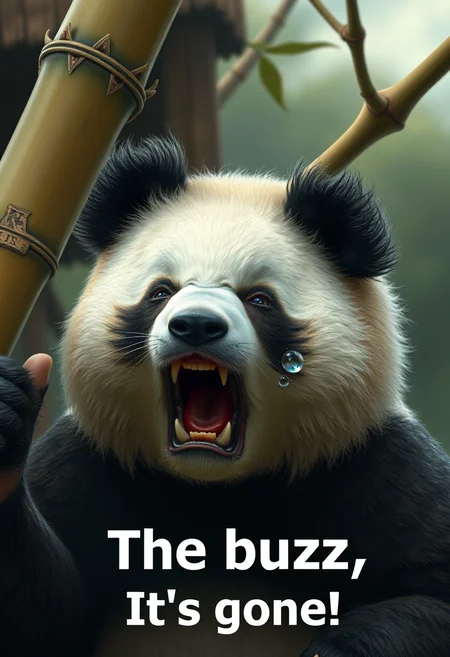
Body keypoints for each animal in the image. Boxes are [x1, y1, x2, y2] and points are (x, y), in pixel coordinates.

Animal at [1, 136, 450, 657]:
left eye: (259, 299)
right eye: (161, 291)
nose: (195, 324)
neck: (215, 489)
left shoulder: (373, 464)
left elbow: (431, 594)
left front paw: (333, 647)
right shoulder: (89, 464)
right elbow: (47, 622)